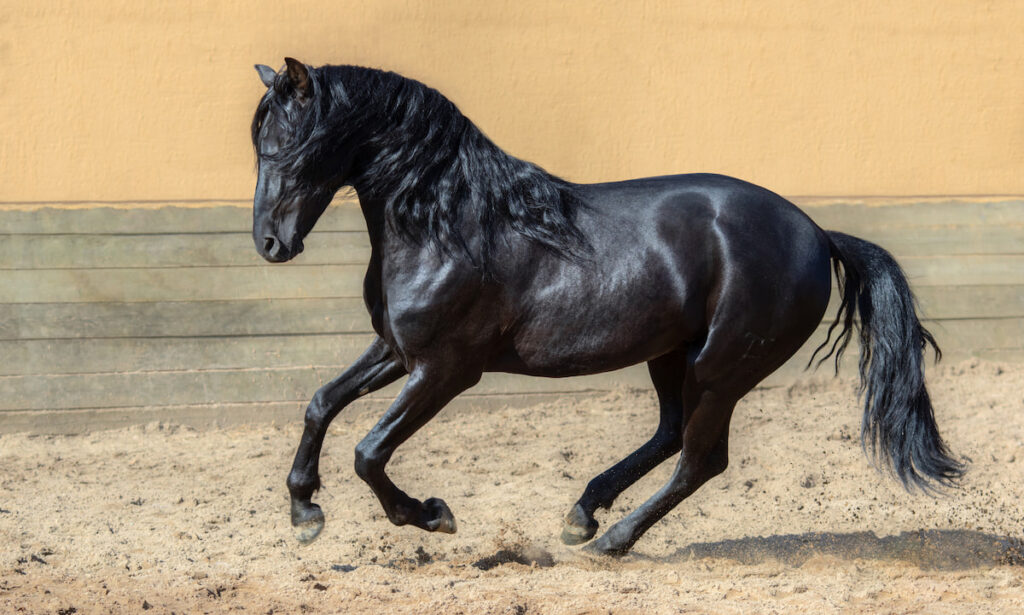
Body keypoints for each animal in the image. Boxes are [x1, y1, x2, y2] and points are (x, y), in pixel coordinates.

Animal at [247, 59, 958, 552]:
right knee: (671, 434)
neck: (448, 226)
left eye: (295, 145)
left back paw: (614, 540)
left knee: (701, 459)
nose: (270, 244)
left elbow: (369, 451)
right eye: (259, 146)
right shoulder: (398, 351)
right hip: (674, 356)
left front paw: (429, 515)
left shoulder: (446, 370)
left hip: (722, 369)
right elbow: (320, 404)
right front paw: (305, 512)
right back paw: (583, 515)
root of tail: (817, 233)